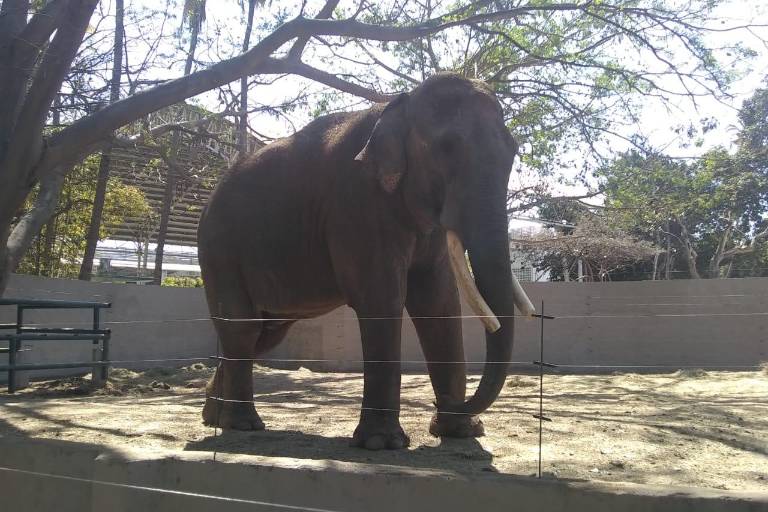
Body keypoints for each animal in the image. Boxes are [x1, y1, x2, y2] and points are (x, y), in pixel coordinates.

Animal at [197, 72, 535, 451]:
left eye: (513, 151)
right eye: (446, 148)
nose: (444, 403)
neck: (399, 104)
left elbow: (439, 303)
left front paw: (461, 432)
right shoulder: (357, 204)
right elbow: (382, 299)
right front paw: (382, 444)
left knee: (263, 335)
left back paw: (214, 417)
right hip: (220, 250)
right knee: (242, 327)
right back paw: (243, 425)